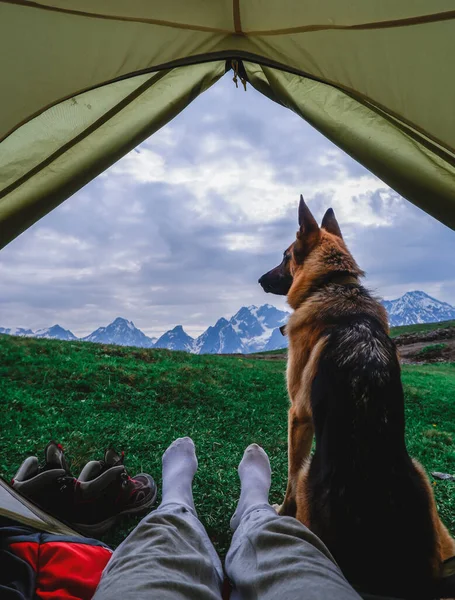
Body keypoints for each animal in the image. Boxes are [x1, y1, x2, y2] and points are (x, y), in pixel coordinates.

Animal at [260, 196, 455, 596]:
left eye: (285, 256)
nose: (259, 279)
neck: (332, 285)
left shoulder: (297, 415)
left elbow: (288, 479)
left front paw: (280, 512)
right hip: (422, 476)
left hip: (313, 472)